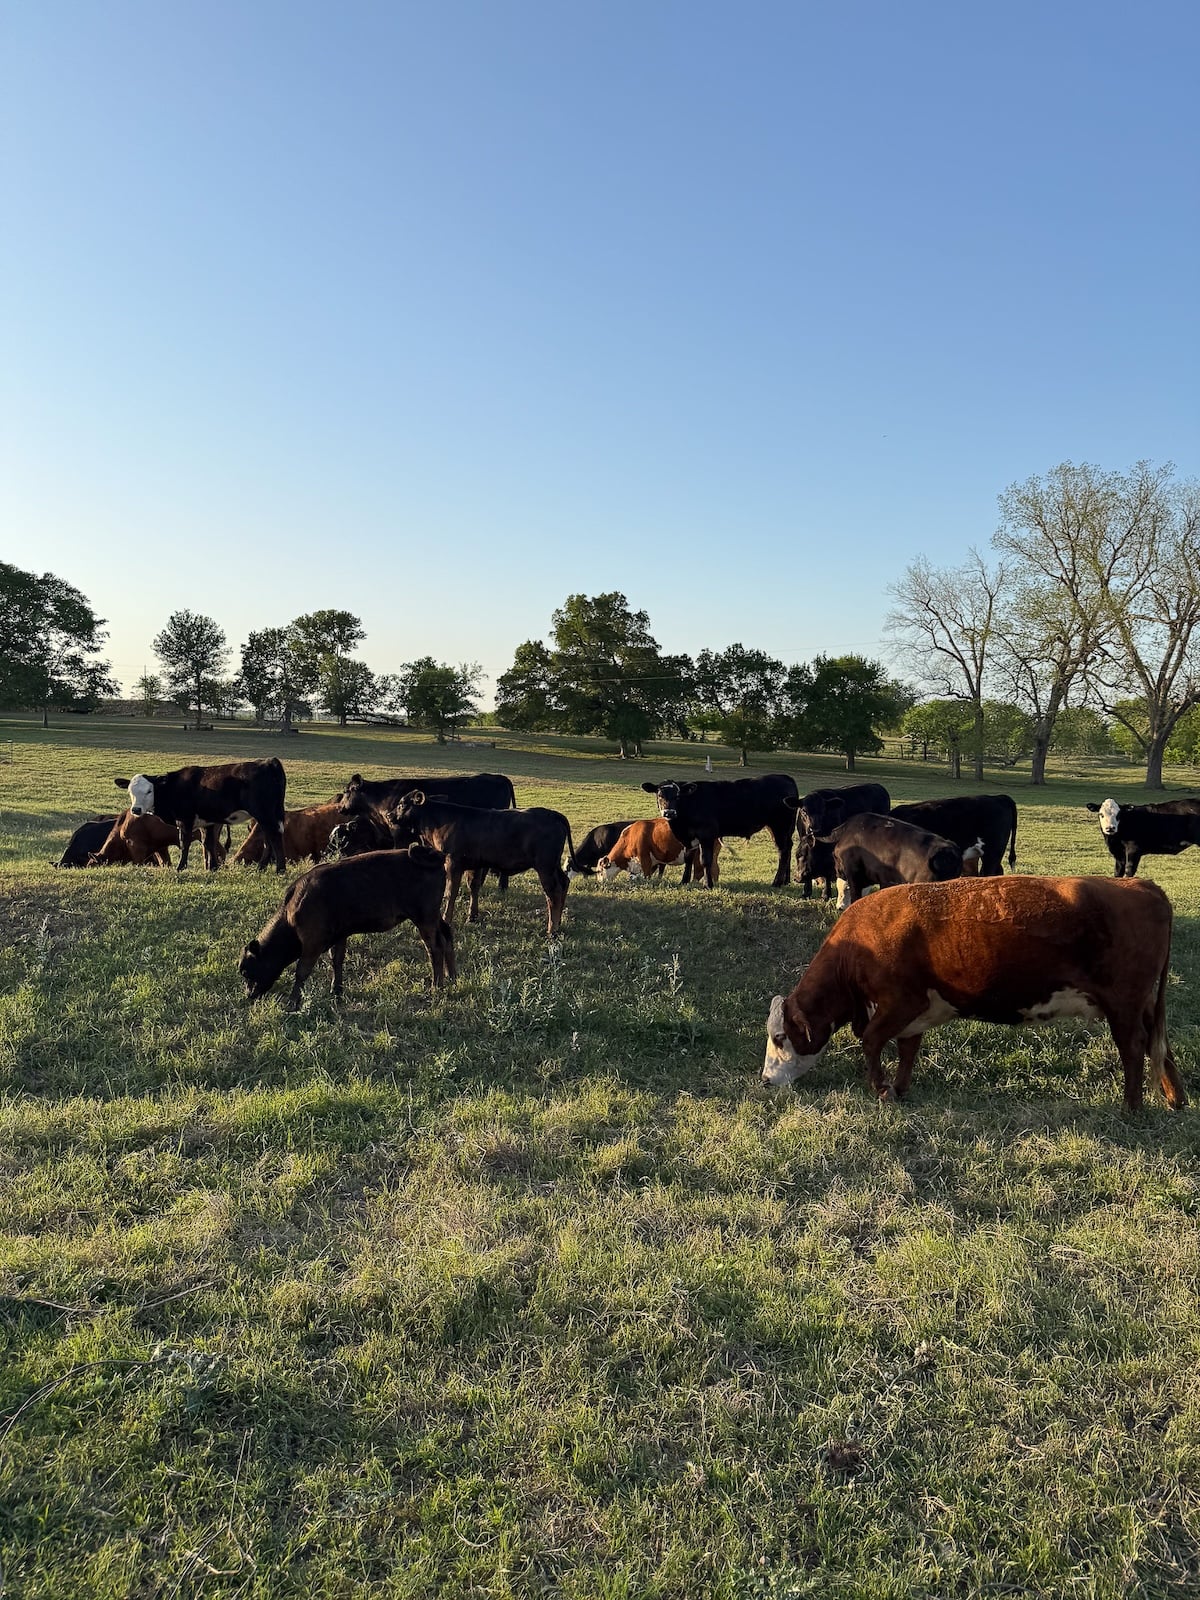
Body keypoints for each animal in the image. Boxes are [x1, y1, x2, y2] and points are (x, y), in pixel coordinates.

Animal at [113, 758, 287, 872]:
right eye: (130, 791)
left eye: (149, 791)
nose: (136, 810)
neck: (173, 788)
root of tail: (268, 762)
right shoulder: (207, 822)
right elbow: (208, 843)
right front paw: (212, 868)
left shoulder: (185, 820)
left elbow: (185, 843)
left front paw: (181, 867)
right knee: (268, 840)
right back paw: (262, 867)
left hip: (265, 814)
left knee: (274, 838)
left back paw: (280, 869)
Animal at [239, 844, 455, 1010]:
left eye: (246, 971)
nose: (248, 995)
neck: (293, 908)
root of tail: (435, 855)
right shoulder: (339, 935)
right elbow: (337, 960)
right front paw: (336, 990)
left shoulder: (312, 942)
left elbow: (301, 971)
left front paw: (292, 1003)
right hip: (434, 917)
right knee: (447, 936)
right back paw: (451, 977)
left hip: (424, 919)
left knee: (435, 948)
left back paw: (437, 987)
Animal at [390, 792, 576, 936]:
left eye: (402, 804)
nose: (389, 816)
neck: (440, 821)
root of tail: (552, 814)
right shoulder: (475, 864)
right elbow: (474, 887)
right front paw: (472, 916)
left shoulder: (453, 862)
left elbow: (451, 892)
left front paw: (447, 919)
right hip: (553, 865)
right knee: (564, 882)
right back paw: (559, 922)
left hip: (545, 867)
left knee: (553, 893)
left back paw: (552, 930)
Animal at [641, 774, 800, 888]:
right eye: (659, 795)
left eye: (678, 796)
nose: (669, 812)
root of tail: (785, 777)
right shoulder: (688, 838)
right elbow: (688, 859)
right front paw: (684, 882)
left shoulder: (706, 835)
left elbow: (705, 860)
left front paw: (708, 884)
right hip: (782, 829)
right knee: (789, 847)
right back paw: (785, 880)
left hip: (780, 826)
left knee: (783, 851)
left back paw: (777, 882)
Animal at [762, 876, 1185, 1113]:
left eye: (780, 1036)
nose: (765, 1081)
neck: (858, 944)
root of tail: (1141, 885)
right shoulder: (914, 1013)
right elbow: (907, 1050)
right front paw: (898, 1088)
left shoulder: (901, 1002)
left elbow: (870, 1041)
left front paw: (881, 1089)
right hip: (1142, 1005)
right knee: (1159, 1046)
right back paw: (1175, 1099)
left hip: (1124, 1005)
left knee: (1133, 1049)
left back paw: (1131, 1107)